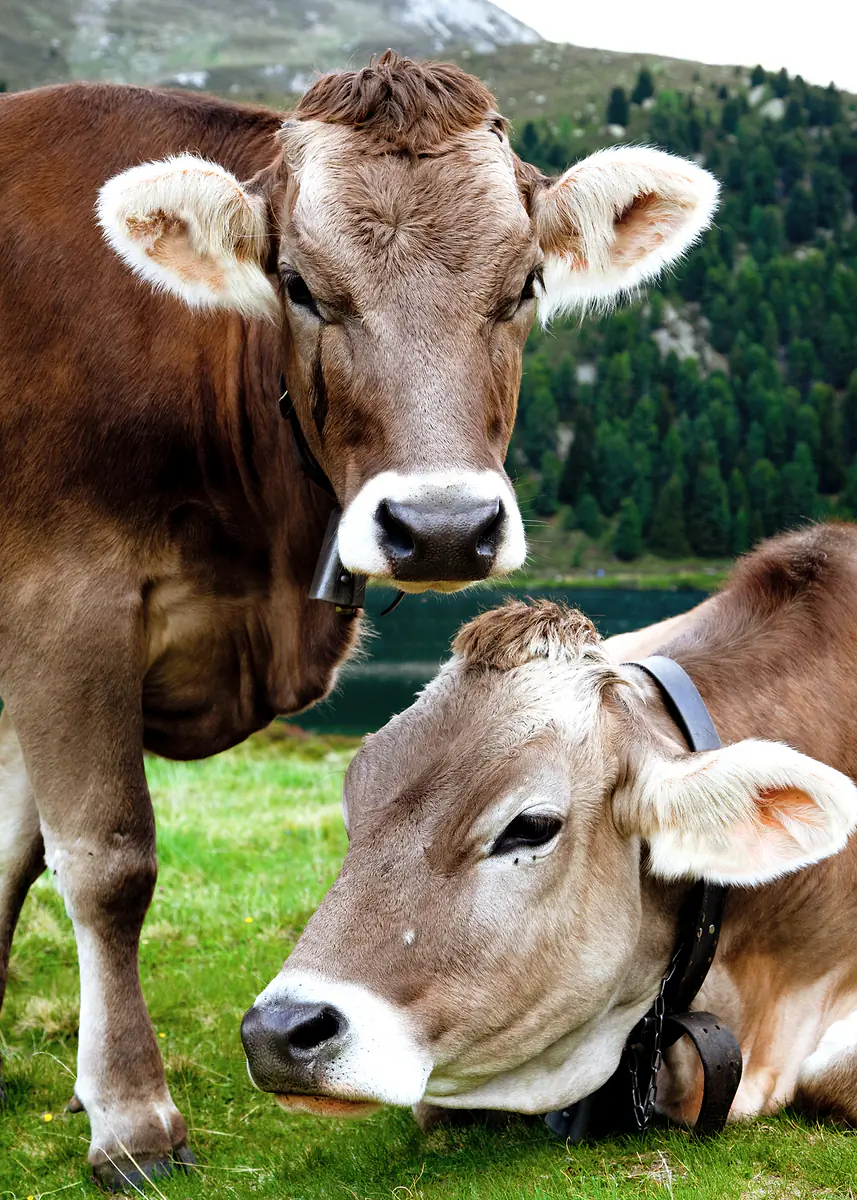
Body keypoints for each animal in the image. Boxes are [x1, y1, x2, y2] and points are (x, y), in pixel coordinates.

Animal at [0, 52, 717, 1185]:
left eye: (524, 285)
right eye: (299, 284)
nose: (442, 526)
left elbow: (11, 850)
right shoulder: (60, 600)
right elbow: (107, 858)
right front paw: (131, 1119)